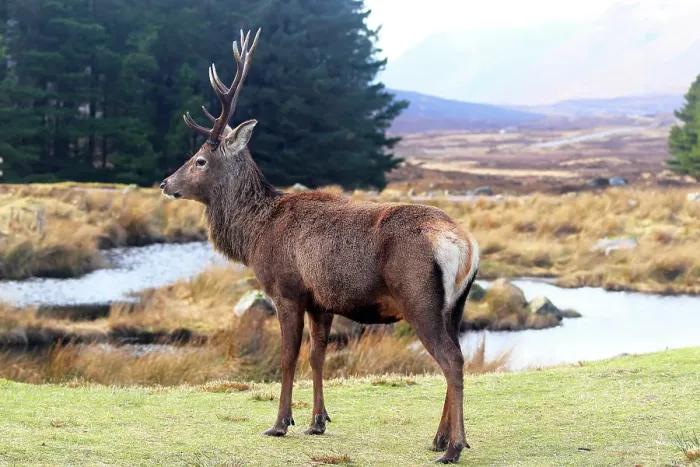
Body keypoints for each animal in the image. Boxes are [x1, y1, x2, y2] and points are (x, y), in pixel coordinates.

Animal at [160, 29, 480, 464]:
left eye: (200, 160)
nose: (165, 183)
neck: (255, 233)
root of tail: (465, 246)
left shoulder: (286, 290)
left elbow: (287, 357)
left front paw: (280, 423)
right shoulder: (321, 300)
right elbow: (317, 356)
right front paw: (317, 421)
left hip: (419, 298)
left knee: (451, 360)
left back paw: (453, 446)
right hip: (456, 307)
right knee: (456, 354)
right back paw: (439, 438)